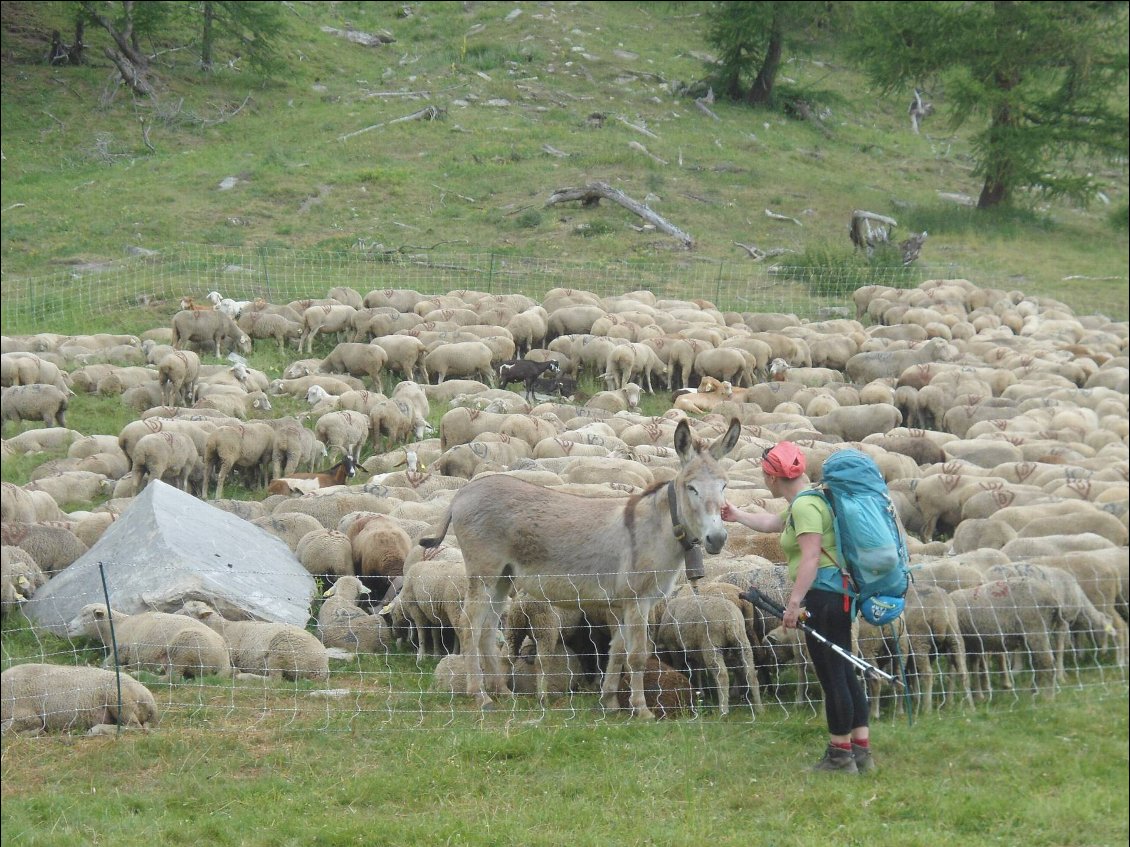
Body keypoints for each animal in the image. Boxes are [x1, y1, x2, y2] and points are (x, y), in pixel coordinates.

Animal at [1, 664, 159, 736]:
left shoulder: (26, 717)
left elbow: (5, 731)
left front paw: (35, 733)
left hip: (119, 698)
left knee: (134, 727)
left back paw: (96, 730)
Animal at [64, 605, 232, 682]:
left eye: (85, 615)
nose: (68, 626)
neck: (117, 625)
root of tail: (225, 661)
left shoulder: (121, 650)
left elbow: (105, 665)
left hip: (184, 648)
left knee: (172, 678)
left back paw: (137, 673)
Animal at [174, 605, 329, 682]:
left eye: (186, 613)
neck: (222, 628)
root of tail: (320, 668)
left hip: (281, 648)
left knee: (275, 680)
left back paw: (243, 676)